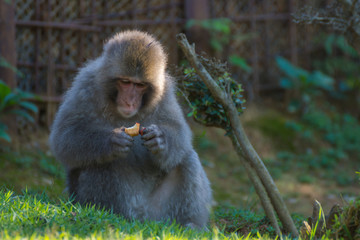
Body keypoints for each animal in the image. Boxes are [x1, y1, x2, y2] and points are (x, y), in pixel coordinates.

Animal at [47, 30, 211, 229]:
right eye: (125, 82)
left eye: (139, 85)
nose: (129, 101)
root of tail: (142, 220)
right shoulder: (85, 84)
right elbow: (64, 137)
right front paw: (111, 141)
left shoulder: (165, 93)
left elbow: (179, 134)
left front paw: (160, 140)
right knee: (99, 162)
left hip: (159, 213)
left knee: (186, 157)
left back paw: (190, 224)